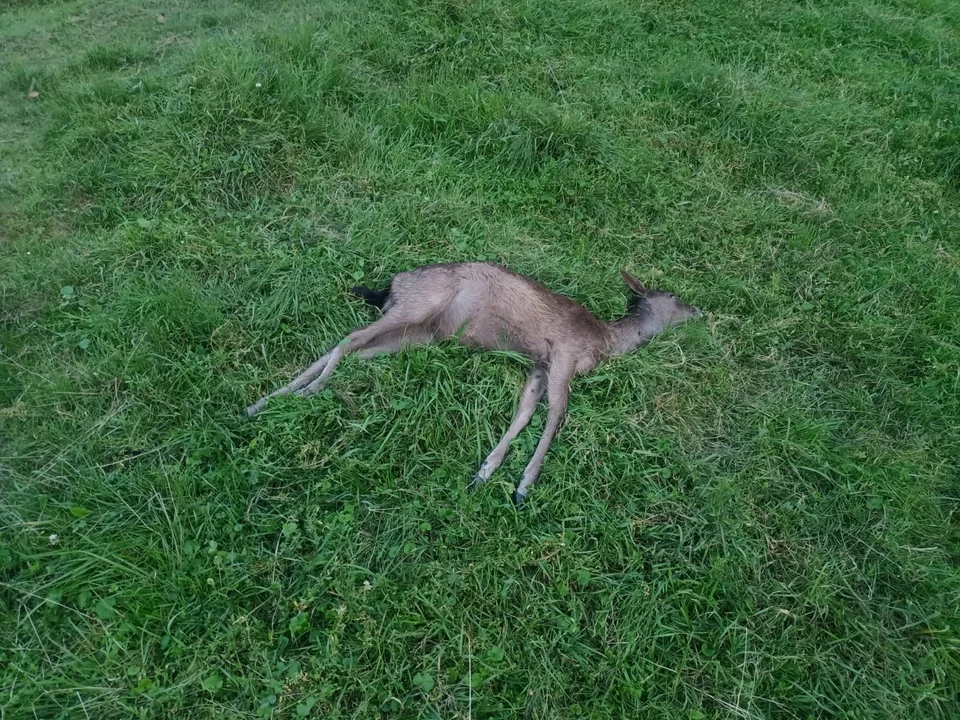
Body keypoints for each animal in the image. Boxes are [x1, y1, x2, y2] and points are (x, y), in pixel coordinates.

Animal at [244, 262, 700, 504]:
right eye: (674, 296)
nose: (698, 310)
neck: (602, 343)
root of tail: (390, 285)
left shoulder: (540, 364)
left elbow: (525, 411)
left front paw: (485, 472)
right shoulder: (565, 356)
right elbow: (556, 414)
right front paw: (523, 487)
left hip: (415, 334)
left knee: (352, 348)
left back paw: (266, 401)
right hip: (417, 306)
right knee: (348, 340)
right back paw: (300, 393)